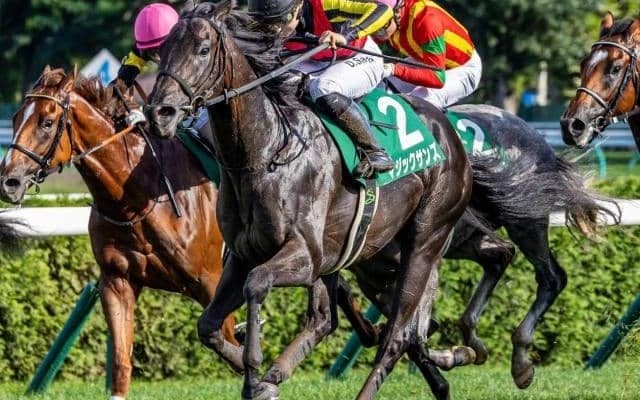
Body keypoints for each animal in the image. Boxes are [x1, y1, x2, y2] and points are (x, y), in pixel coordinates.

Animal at [0, 66, 239, 400]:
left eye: (46, 122)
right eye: (16, 116)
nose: (8, 181)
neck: (137, 198)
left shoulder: (211, 282)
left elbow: (235, 350)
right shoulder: (117, 281)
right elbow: (121, 363)